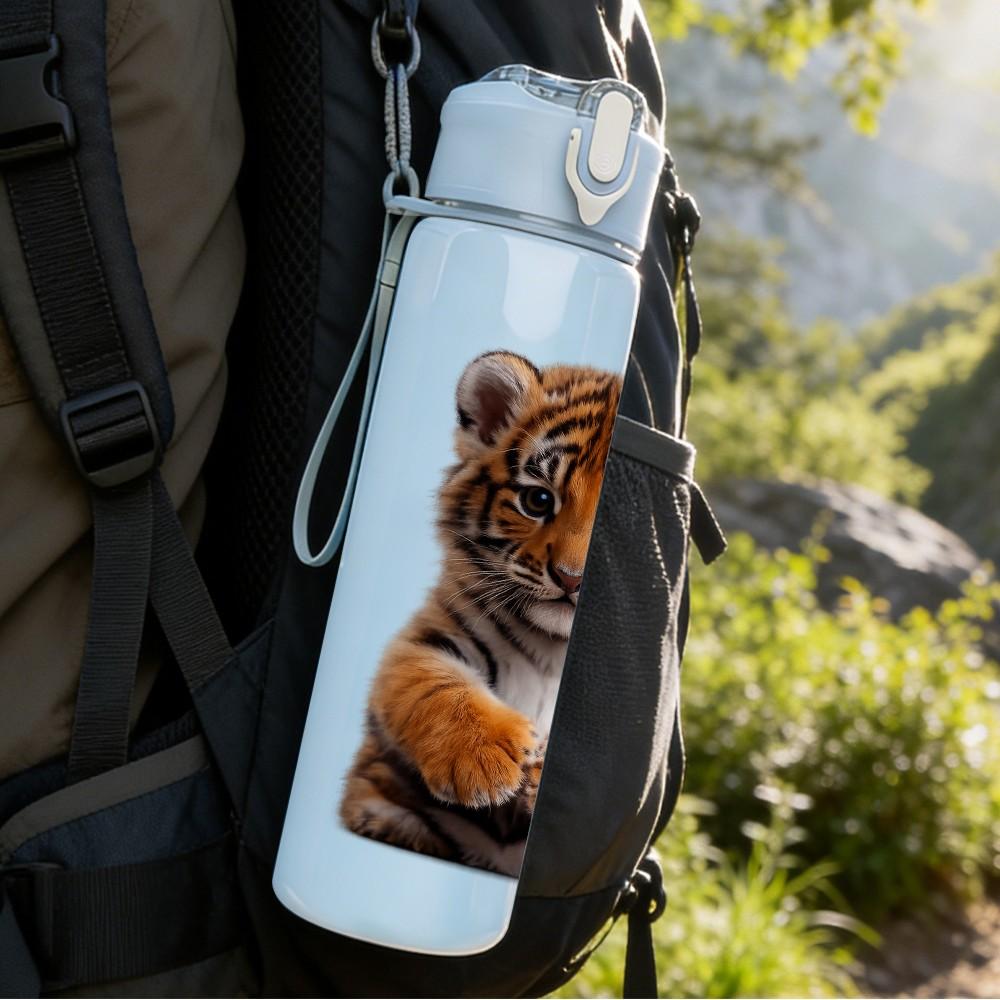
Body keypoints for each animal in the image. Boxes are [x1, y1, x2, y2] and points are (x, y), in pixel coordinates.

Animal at [339, 350, 621, 875]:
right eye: (538, 500)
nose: (572, 579)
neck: (555, 646)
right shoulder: (430, 636)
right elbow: (435, 685)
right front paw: (487, 758)